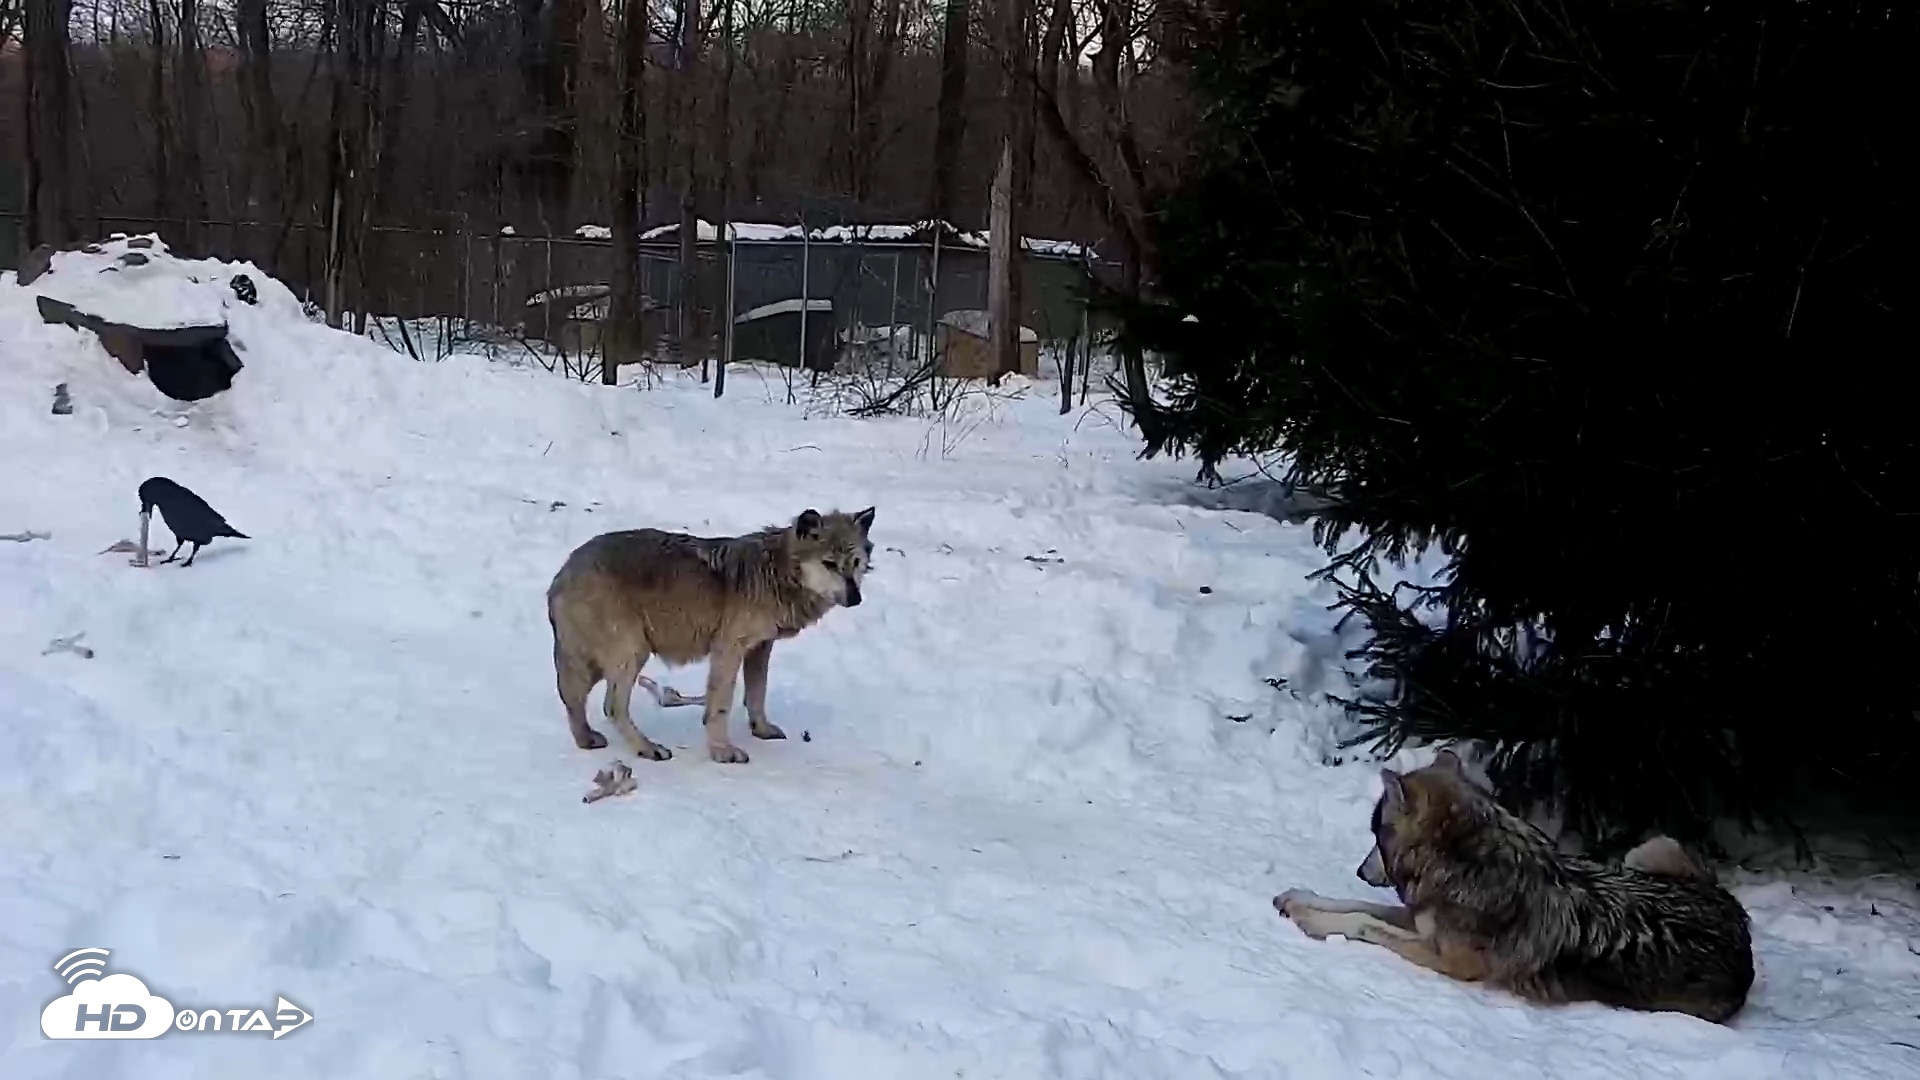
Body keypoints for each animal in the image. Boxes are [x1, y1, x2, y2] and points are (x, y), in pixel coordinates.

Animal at [547, 506, 875, 765]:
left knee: (571, 698)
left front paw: (761, 730)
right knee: (611, 706)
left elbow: (757, 694)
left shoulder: (760, 648)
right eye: (829, 564)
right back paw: (648, 749)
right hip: (631, 654)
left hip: (596, 663)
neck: (776, 571)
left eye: (855, 563)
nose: (856, 598)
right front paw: (722, 752)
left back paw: (587, 740)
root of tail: (563, 572)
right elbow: (720, 705)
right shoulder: (728, 649)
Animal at [1273, 750, 1755, 1023]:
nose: (1360, 869)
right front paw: (1299, 900)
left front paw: (1310, 920)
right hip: (1648, 849)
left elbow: (1361, 921)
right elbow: (1353, 904)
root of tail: (1741, 926)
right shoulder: (1421, 920)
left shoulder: (1449, 961)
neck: (1469, 864)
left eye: (1375, 834)